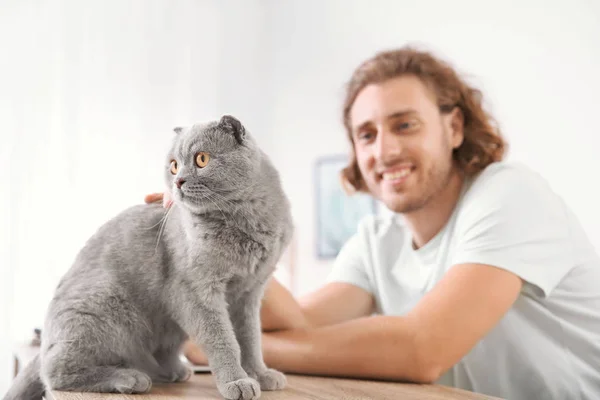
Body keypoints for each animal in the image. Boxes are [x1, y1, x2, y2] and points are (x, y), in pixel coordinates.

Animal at [3, 115, 294, 400]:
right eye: (174, 166)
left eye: (201, 159)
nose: (178, 181)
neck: (246, 219)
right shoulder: (196, 291)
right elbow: (223, 339)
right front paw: (237, 381)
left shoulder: (250, 293)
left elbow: (251, 339)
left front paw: (260, 374)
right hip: (103, 306)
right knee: (55, 372)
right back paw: (130, 378)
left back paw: (175, 371)